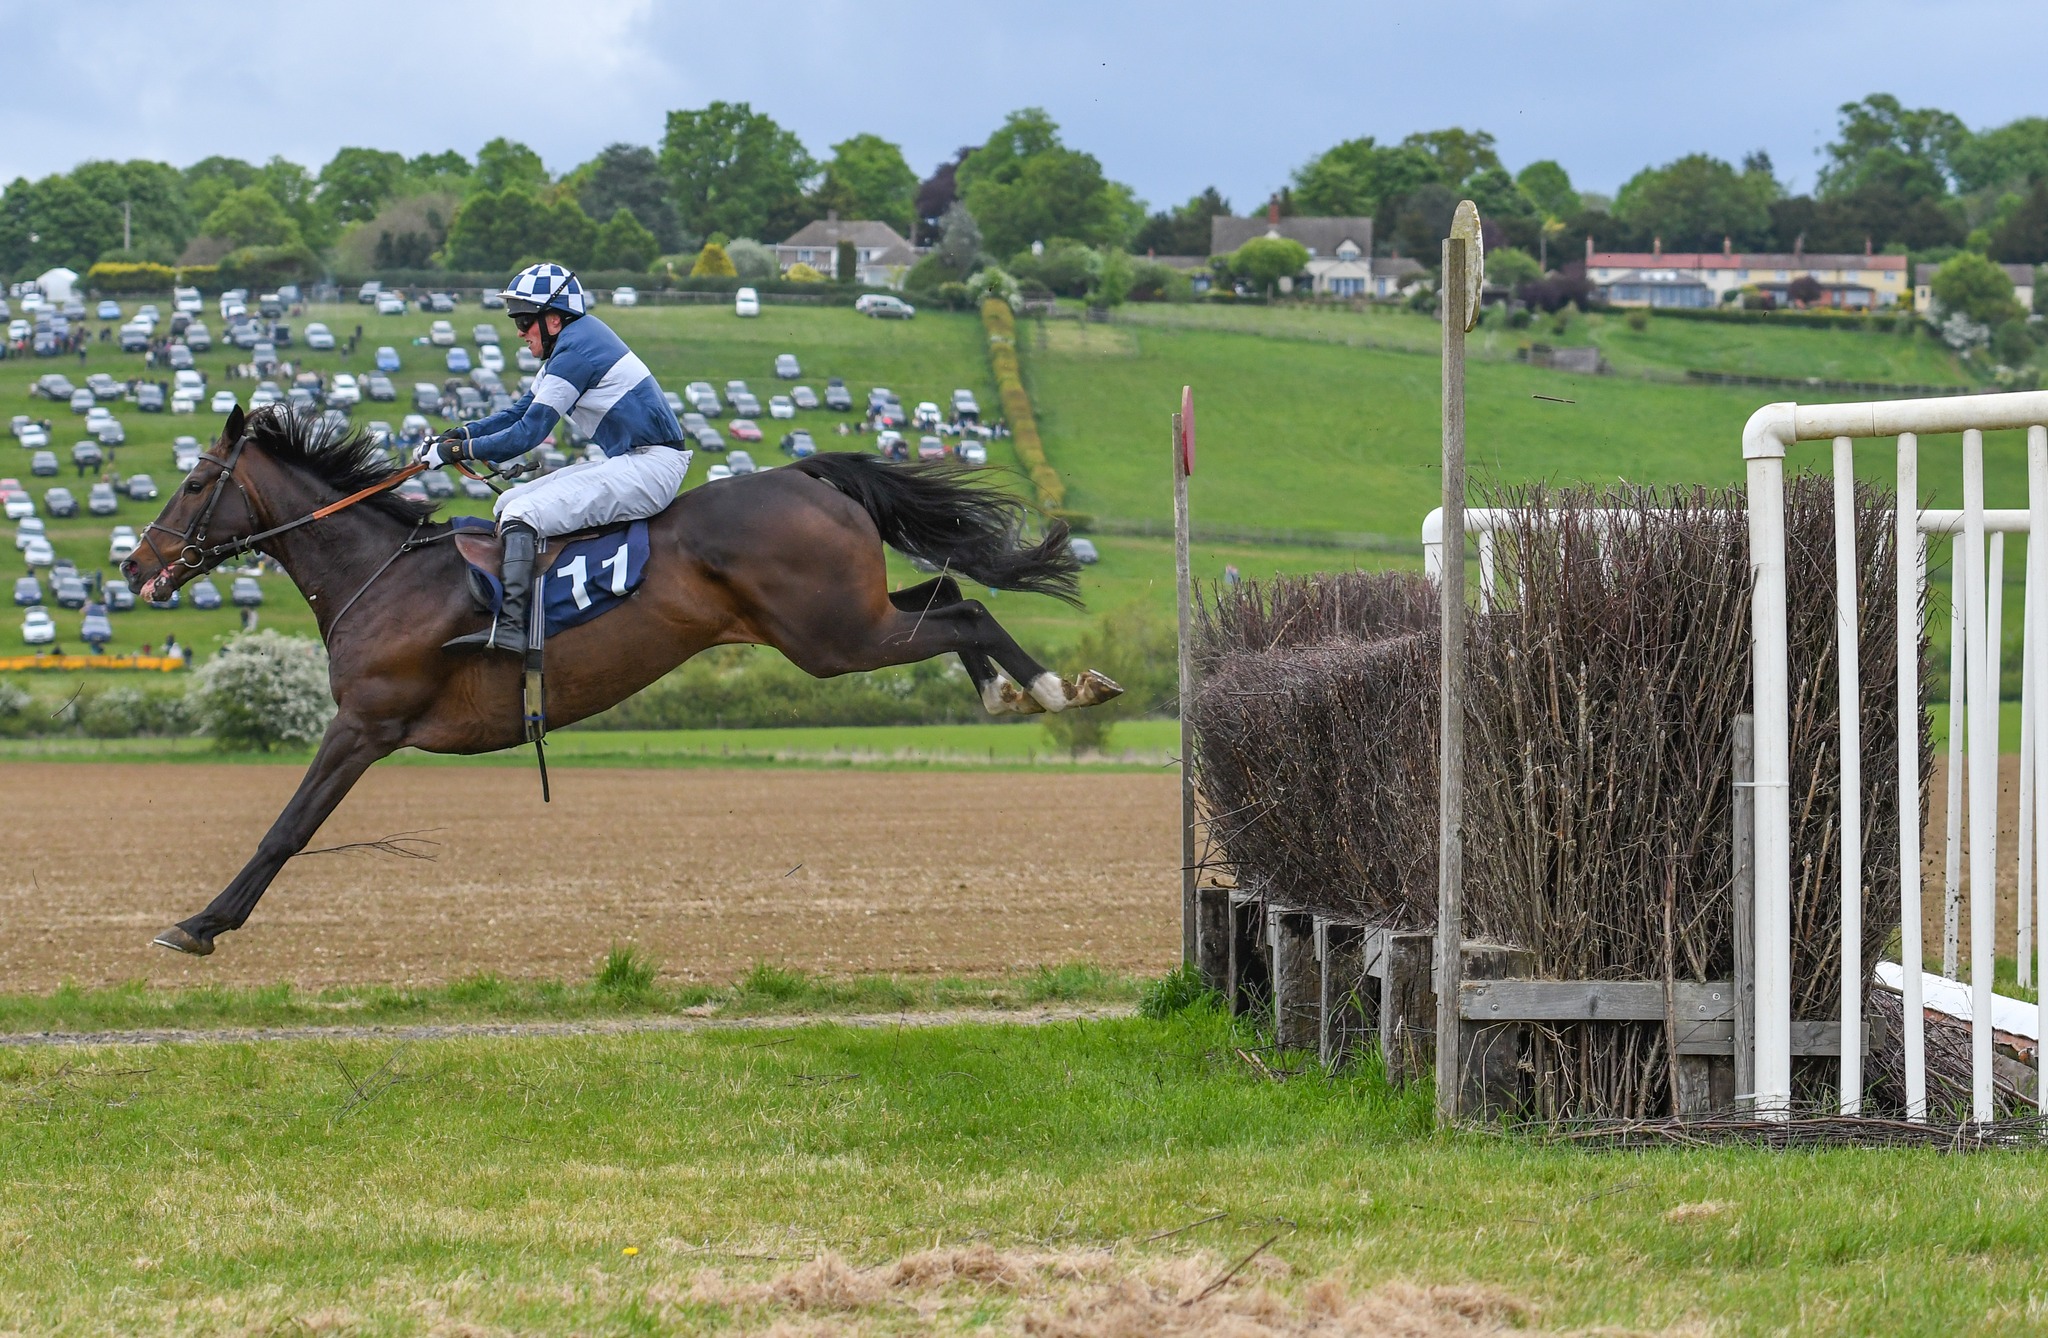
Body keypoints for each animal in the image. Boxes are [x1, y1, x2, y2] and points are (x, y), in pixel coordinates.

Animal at [123, 406, 1122, 956]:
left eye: (195, 482)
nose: (135, 566)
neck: (385, 572)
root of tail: (807, 475)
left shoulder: (364, 724)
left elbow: (285, 829)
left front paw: (202, 923)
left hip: (834, 637)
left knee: (965, 610)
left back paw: (1051, 689)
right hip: (841, 623)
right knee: (948, 594)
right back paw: (1008, 690)